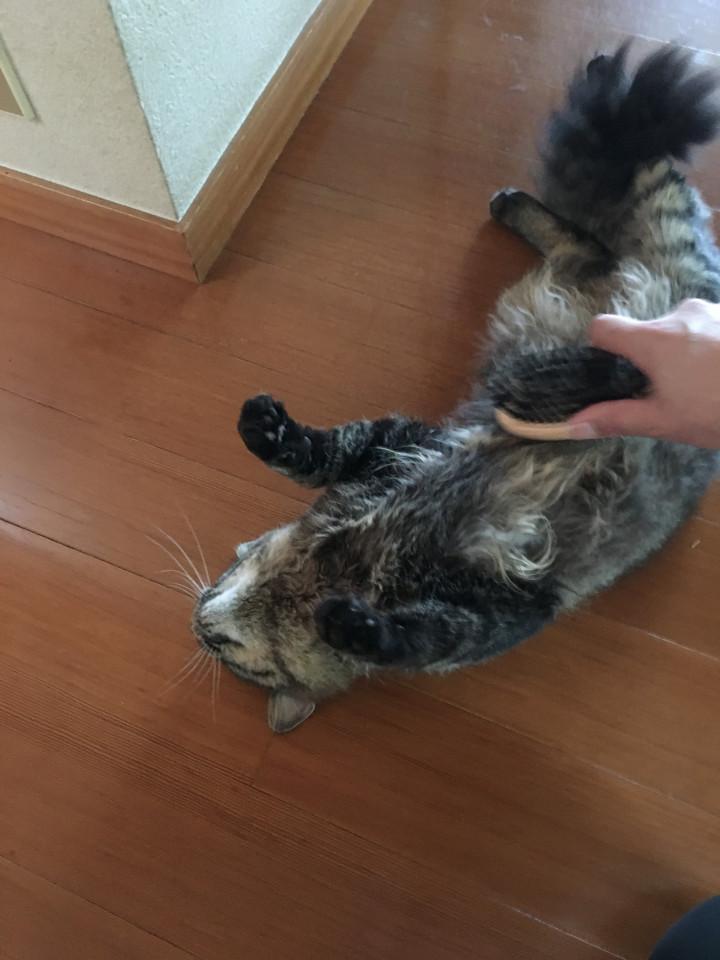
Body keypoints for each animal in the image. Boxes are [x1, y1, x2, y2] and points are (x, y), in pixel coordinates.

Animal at [193, 45, 720, 732]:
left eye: (226, 571)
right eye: (223, 651)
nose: (199, 614)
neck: (350, 561)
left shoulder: (401, 447)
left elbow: (320, 451)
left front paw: (265, 427)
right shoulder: (489, 611)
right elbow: (419, 635)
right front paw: (356, 627)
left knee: (601, 234)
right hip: (576, 329)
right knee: (588, 265)